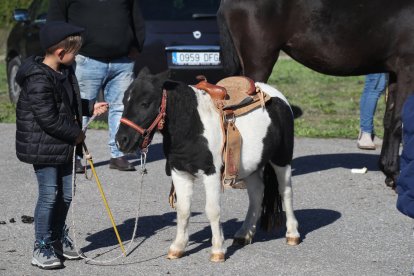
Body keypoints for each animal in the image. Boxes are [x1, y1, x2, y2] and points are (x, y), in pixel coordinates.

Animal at [115, 68, 300, 260]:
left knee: (286, 192)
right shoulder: (179, 173)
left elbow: (212, 210)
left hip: (282, 159)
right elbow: (183, 210)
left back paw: (292, 234)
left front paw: (217, 250)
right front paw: (178, 247)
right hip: (252, 168)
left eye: (144, 103)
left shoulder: (211, 174)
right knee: (256, 194)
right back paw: (244, 234)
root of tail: (278, 96)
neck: (192, 125)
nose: (122, 141)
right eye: (124, 100)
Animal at [217, 0, 414, 188]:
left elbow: (389, 120)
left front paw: (388, 172)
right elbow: (398, 122)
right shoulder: (407, 69)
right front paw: (395, 176)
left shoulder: (394, 73)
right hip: (259, 63)